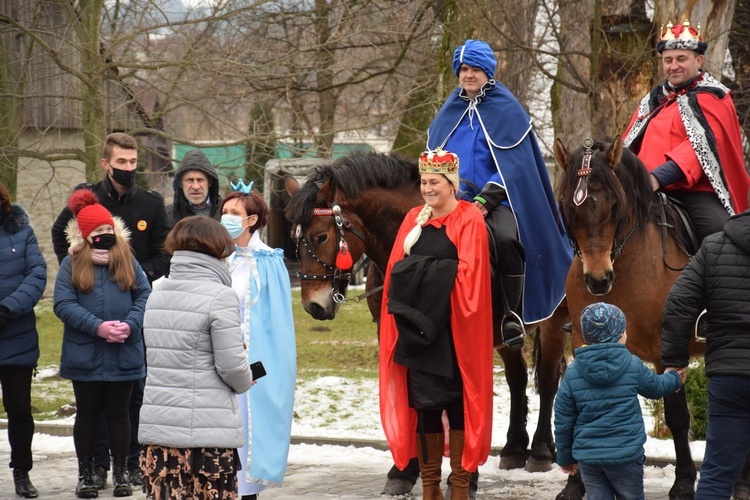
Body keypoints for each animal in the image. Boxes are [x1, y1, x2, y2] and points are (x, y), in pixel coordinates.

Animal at [284, 152, 568, 496]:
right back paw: (513, 449)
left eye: (321, 236)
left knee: (548, 379)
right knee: (517, 378)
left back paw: (540, 452)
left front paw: (465, 477)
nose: (314, 305)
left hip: (553, 324)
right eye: (295, 238)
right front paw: (404, 471)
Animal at [556, 135, 708, 498]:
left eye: (614, 205)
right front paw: (575, 483)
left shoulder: (668, 347)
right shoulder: (583, 342)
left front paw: (684, 482)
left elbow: (677, 416)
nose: (598, 280)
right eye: (568, 207)